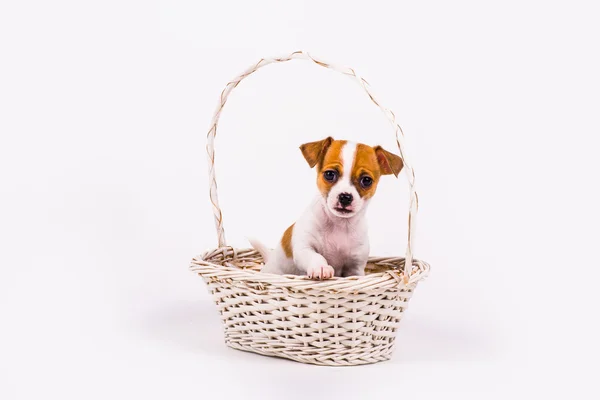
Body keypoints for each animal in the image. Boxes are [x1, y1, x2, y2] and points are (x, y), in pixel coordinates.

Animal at [248, 136, 404, 280]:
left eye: (366, 180)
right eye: (329, 174)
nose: (345, 197)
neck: (339, 225)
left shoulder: (355, 267)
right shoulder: (304, 248)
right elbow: (316, 256)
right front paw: (321, 268)